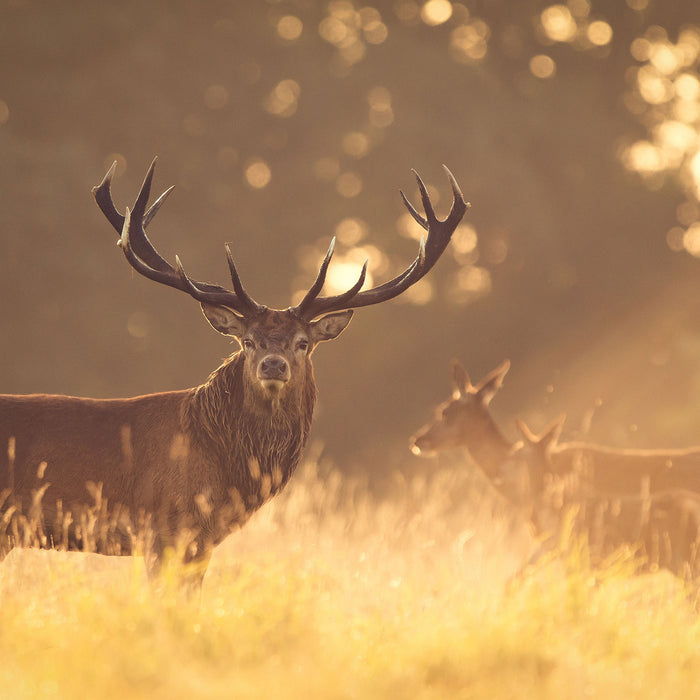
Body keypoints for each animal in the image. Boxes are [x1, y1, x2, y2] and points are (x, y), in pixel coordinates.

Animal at [1, 160, 470, 580]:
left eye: (304, 343)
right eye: (247, 341)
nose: (273, 364)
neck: (223, 466)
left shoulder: (200, 541)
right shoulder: (163, 528)